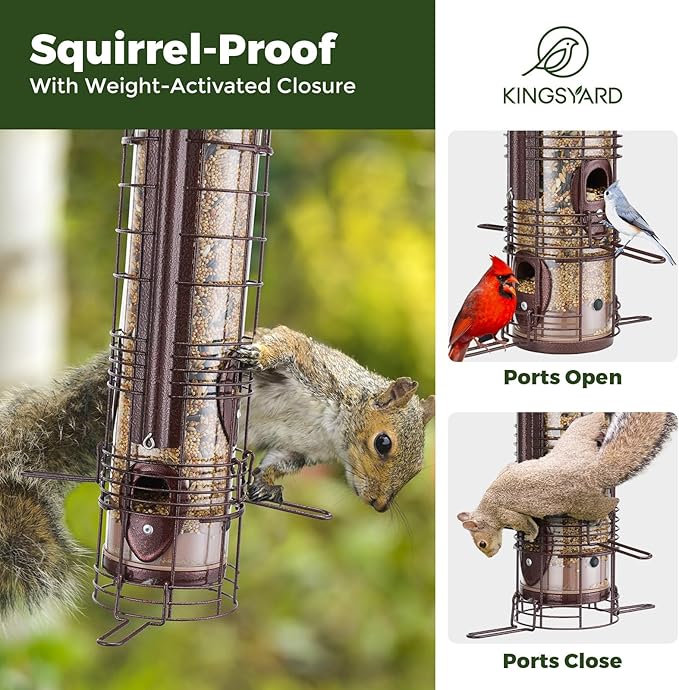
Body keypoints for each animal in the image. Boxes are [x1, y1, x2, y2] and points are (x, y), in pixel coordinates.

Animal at [0, 326, 434, 619]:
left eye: (417, 469)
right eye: (383, 443)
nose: (378, 504)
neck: (333, 433)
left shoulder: (298, 449)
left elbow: (278, 463)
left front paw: (266, 487)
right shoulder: (317, 369)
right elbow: (286, 343)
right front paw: (254, 354)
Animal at [458, 412, 676, 558]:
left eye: (482, 544)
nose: (491, 555)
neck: (486, 509)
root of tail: (592, 471)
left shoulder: (505, 513)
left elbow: (526, 524)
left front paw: (530, 537)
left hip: (581, 506)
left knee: (607, 505)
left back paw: (606, 513)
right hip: (576, 440)